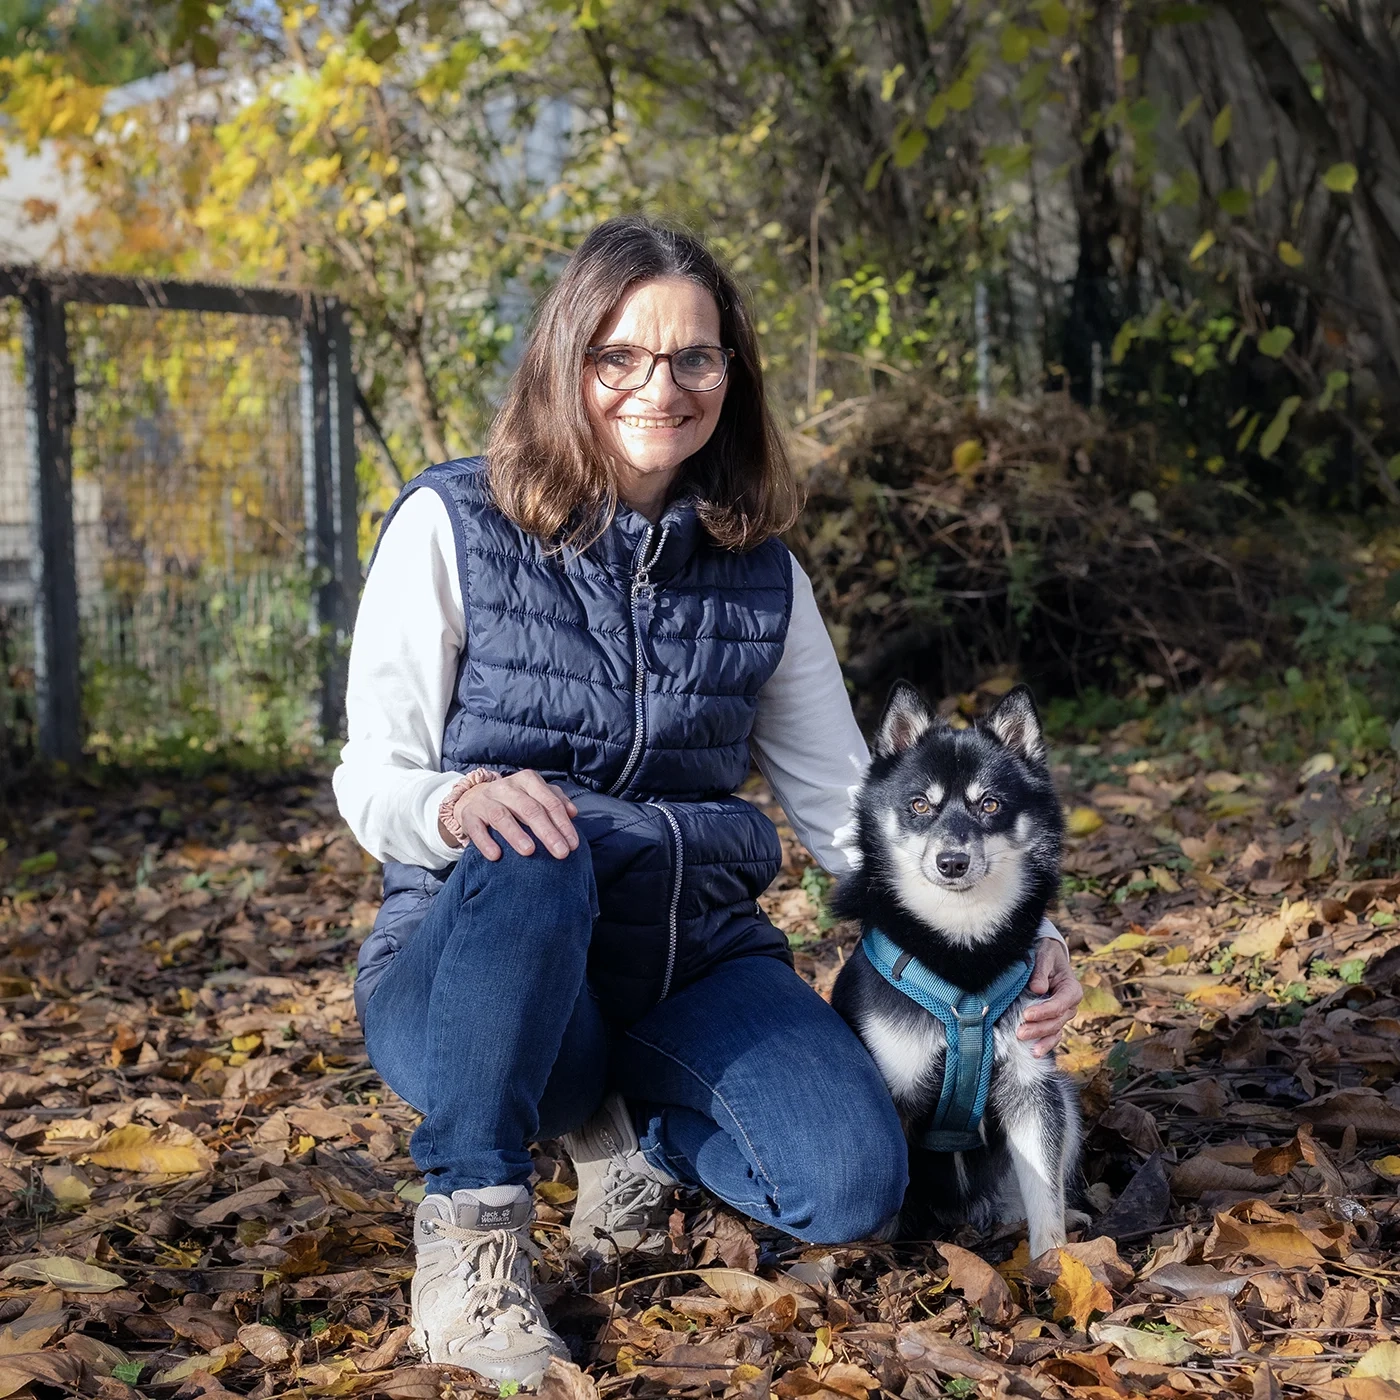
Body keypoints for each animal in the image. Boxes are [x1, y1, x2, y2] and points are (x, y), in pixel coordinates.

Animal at [828, 680, 1080, 1260]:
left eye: (989, 804)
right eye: (921, 804)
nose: (952, 862)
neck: (961, 950)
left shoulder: (1032, 1085)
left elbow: (1046, 1198)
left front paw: (1058, 1267)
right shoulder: (895, 1092)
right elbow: (888, 1212)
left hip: (1063, 1099)